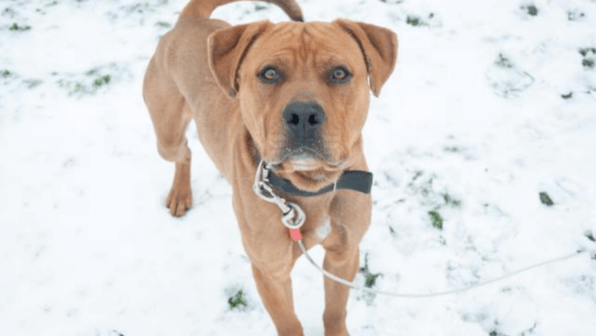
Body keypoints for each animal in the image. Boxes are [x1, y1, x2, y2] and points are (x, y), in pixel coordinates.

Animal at [142, 1, 398, 334]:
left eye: (340, 73)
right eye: (270, 73)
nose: (303, 114)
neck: (311, 185)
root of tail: (191, 21)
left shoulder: (344, 255)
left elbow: (335, 310)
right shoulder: (270, 272)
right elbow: (289, 323)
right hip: (167, 136)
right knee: (183, 151)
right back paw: (180, 193)